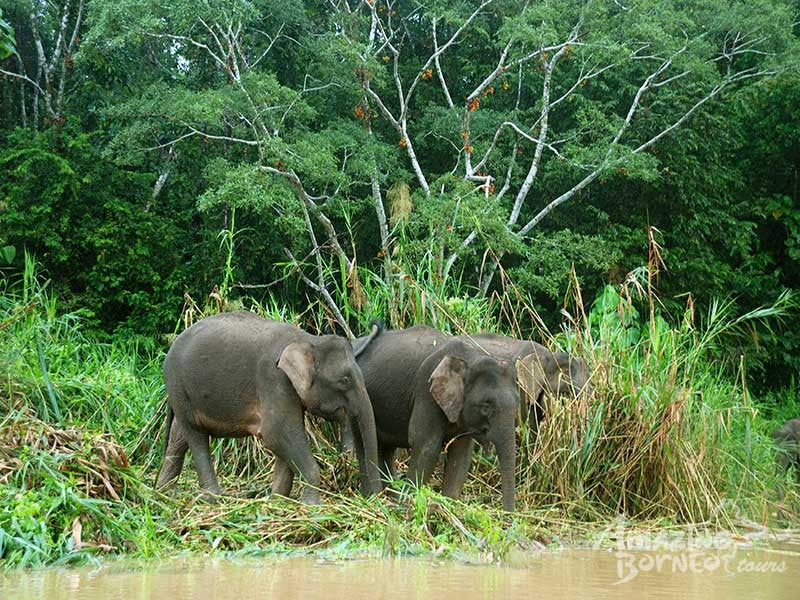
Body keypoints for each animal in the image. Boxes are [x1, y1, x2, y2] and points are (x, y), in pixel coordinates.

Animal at [156, 312, 384, 504]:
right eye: (344, 381)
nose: (373, 498)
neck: (308, 340)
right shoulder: (274, 380)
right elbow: (276, 433)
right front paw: (311, 506)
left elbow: (284, 441)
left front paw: (276, 501)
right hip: (178, 384)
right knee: (196, 435)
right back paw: (212, 498)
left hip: (182, 393)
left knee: (179, 435)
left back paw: (164, 493)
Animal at [352, 324, 520, 510]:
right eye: (486, 406)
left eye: (518, 403)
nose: (509, 516)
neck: (470, 357)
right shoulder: (426, 391)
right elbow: (427, 446)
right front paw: (412, 504)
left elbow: (461, 454)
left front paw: (447, 506)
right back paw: (372, 498)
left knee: (386, 448)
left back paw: (389, 499)